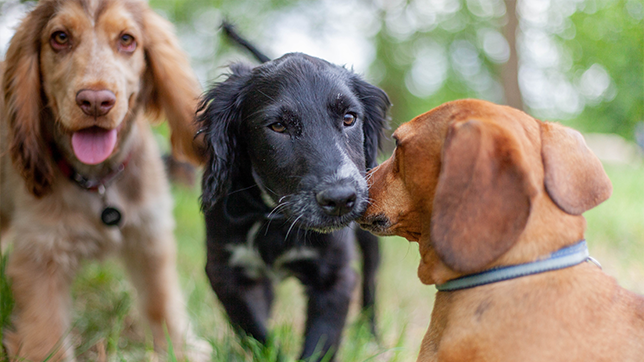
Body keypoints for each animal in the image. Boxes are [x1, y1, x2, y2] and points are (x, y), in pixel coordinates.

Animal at [197, 29, 388, 360]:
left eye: (349, 118)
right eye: (278, 126)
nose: (341, 199)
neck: (276, 218)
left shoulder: (336, 276)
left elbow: (320, 344)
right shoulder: (225, 271)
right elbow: (256, 330)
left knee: (371, 285)